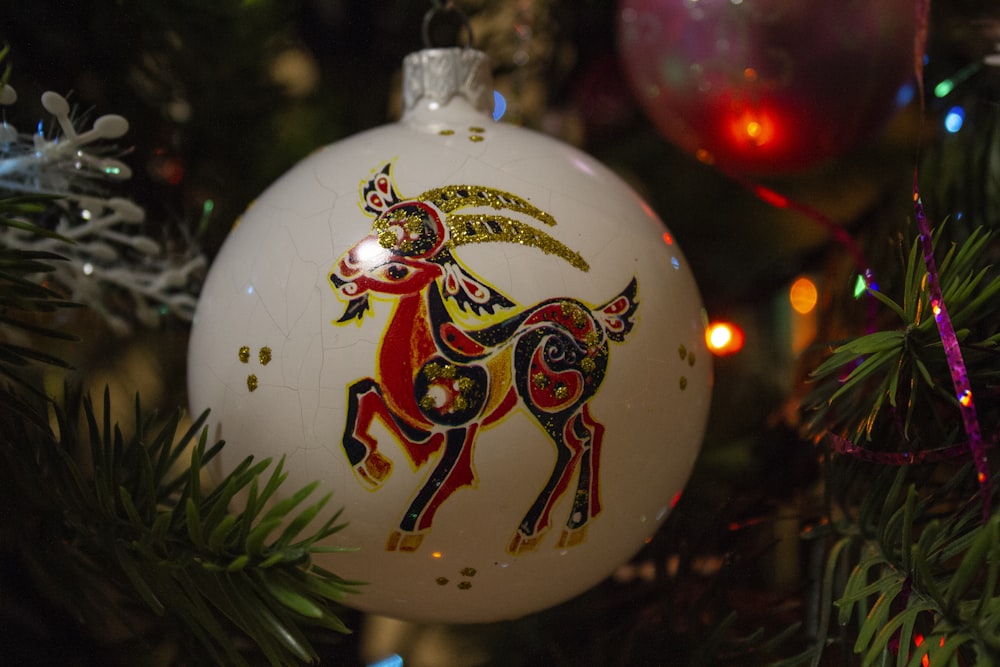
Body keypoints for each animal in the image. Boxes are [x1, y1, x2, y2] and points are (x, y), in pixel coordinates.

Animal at [332, 164, 636, 556]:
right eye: (375, 229)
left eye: (398, 271)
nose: (338, 275)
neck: (427, 349)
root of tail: (598, 318)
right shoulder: (417, 426)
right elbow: (362, 390)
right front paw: (371, 463)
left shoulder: (462, 427)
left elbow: (448, 474)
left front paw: (408, 531)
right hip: (576, 406)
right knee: (592, 434)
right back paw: (576, 523)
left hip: (546, 402)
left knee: (571, 448)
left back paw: (530, 530)